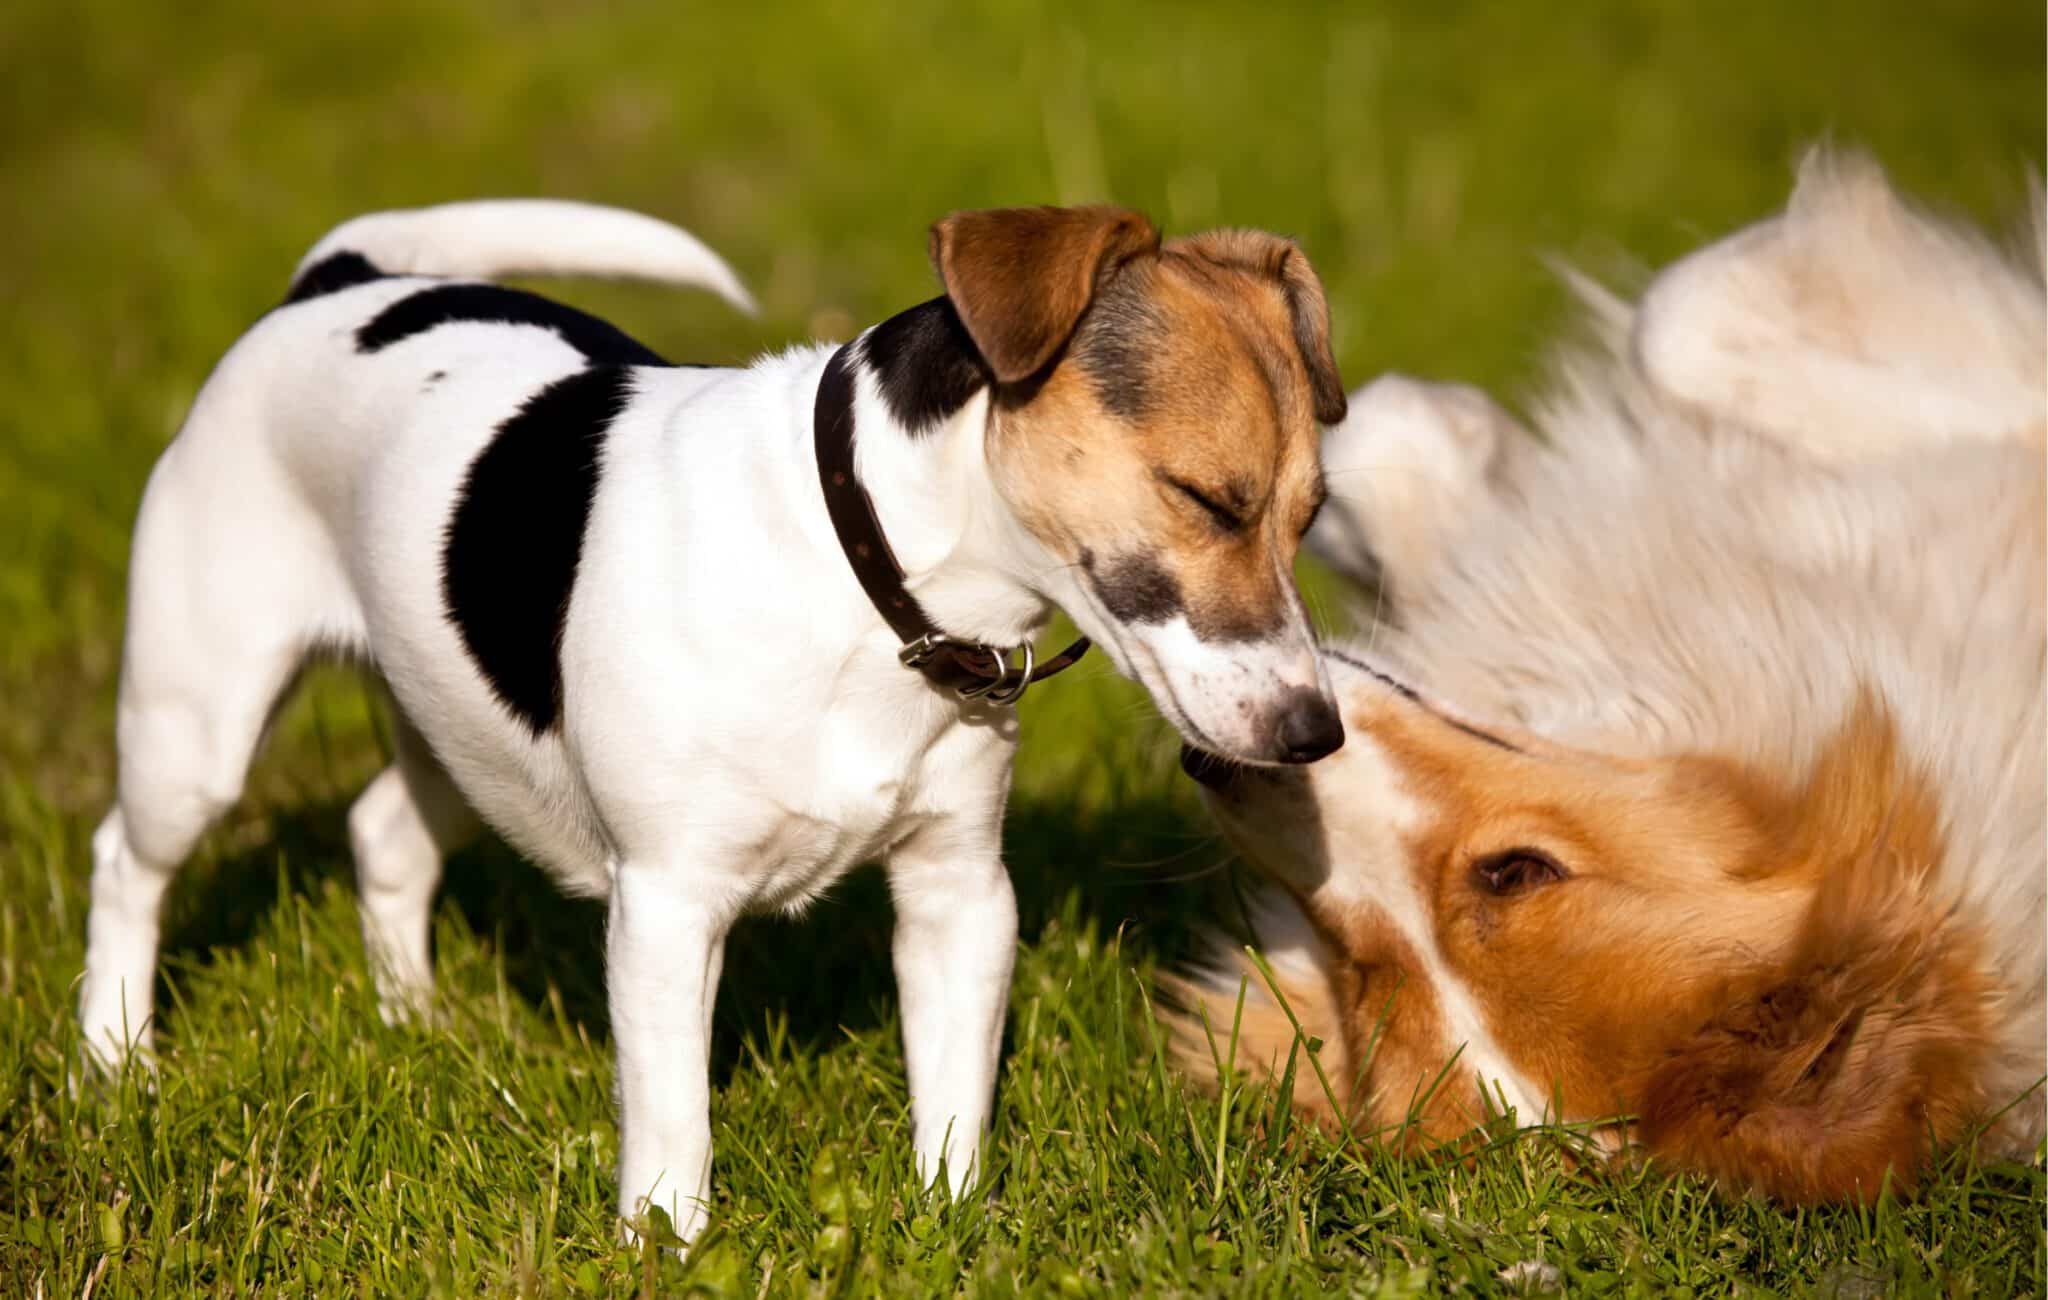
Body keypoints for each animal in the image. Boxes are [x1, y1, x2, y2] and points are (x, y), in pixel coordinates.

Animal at [79, 198, 1351, 1236]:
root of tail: (338, 283)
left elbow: (953, 1093)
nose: (1315, 736)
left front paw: (948, 1224)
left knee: (385, 830)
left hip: (457, 719)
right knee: (125, 863)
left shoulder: (958, 894)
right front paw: (667, 1245)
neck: (862, 568)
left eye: (1308, 518)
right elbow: (673, 1118)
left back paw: (412, 1022)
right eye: (1205, 499)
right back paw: (115, 1056)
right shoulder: (665, 905)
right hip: (199, 724)